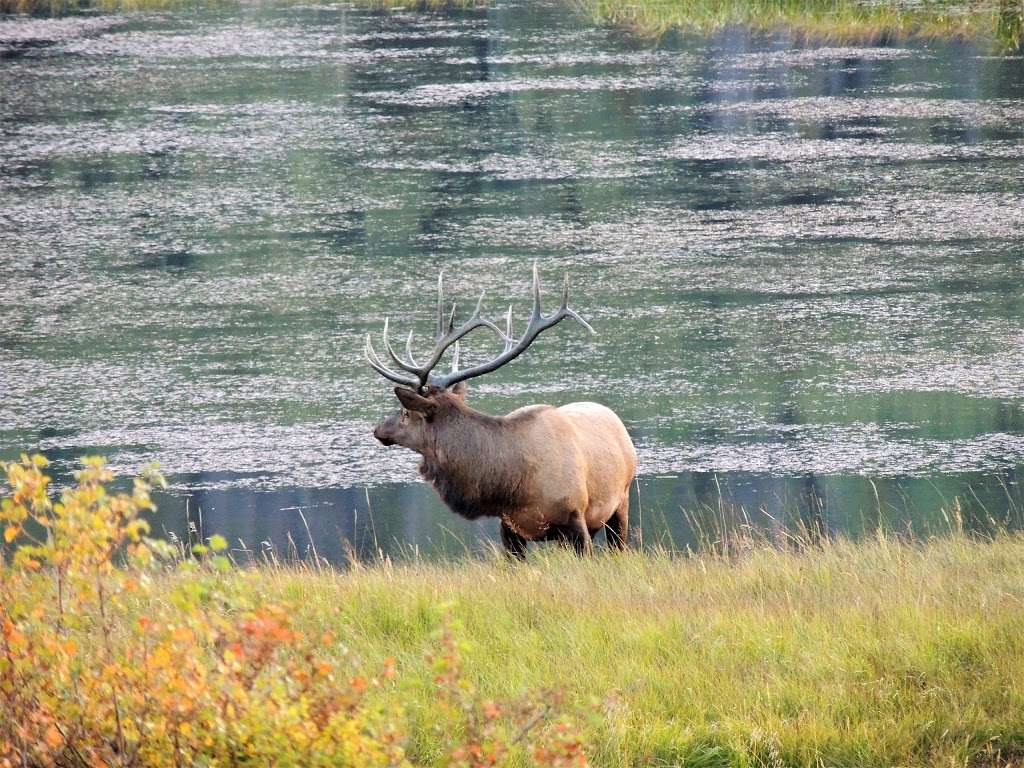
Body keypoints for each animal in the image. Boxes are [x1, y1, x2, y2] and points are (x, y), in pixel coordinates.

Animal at [364, 266, 634, 561]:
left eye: (405, 412)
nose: (378, 429)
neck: (514, 483)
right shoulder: (509, 526)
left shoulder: (576, 517)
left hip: (621, 502)